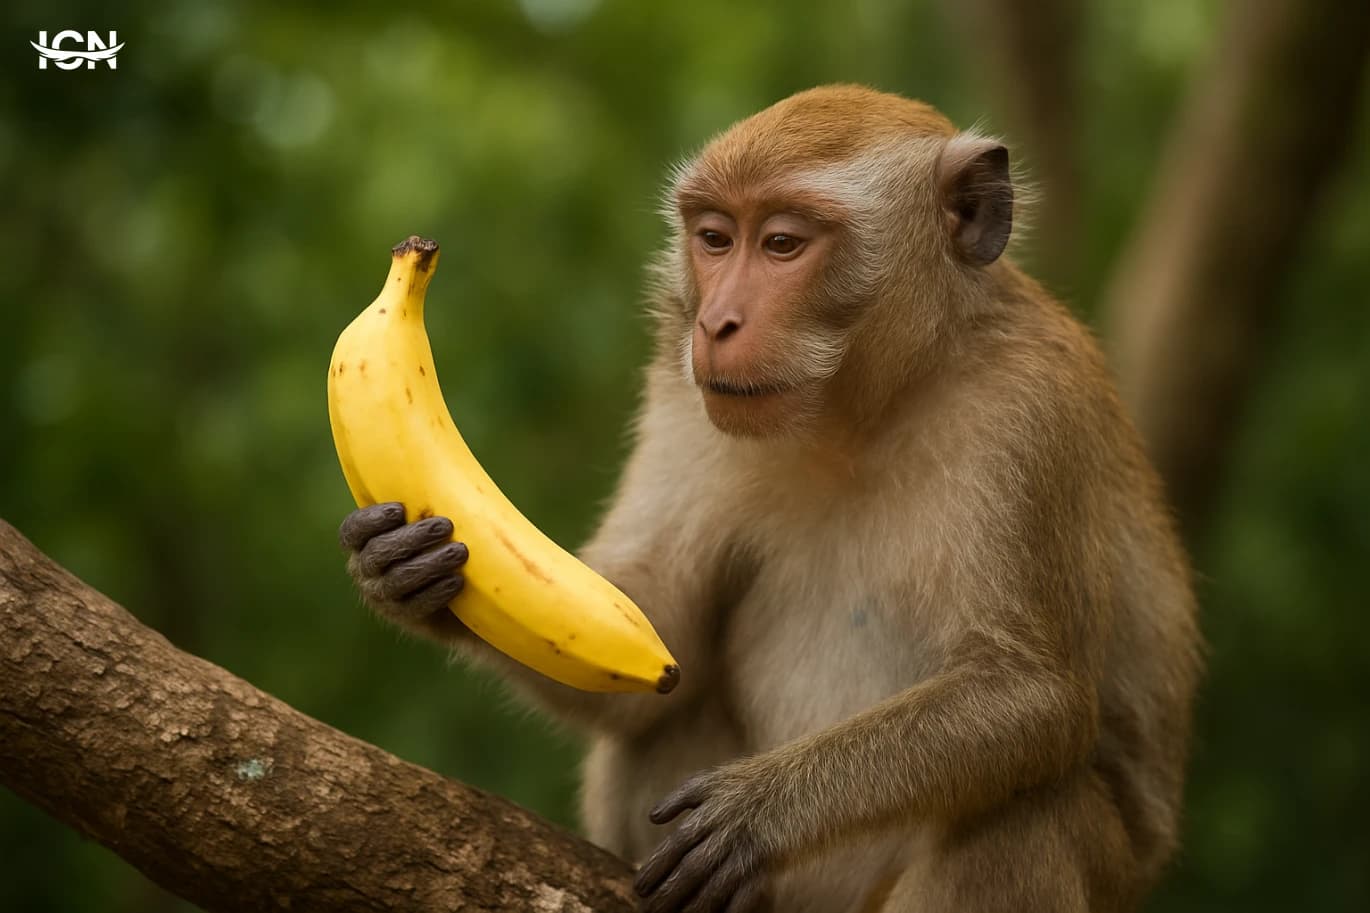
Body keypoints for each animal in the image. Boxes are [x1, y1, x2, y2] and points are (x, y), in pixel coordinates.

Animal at [338, 85, 1202, 913]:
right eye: (716, 238)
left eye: (783, 244)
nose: (718, 322)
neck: (860, 410)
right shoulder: (683, 387)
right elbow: (664, 641)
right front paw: (405, 573)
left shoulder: (1031, 407)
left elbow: (1033, 693)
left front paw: (764, 807)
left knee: (1023, 815)